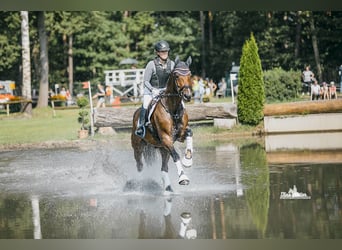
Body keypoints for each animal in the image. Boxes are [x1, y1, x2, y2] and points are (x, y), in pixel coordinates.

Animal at [131, 56, 194, 193]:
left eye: (190, 74)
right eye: (176, 75)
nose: (187, 96)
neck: (172, 108)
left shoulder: (179, 135)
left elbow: (189, 132)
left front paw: (188, 160)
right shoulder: (166, 138)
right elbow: (176, 156)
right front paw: (183, 178)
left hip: (163, 148)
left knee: (163, 168)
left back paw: (168, 188)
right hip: (138, 146)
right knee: (139, 165)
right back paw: (139, 186)